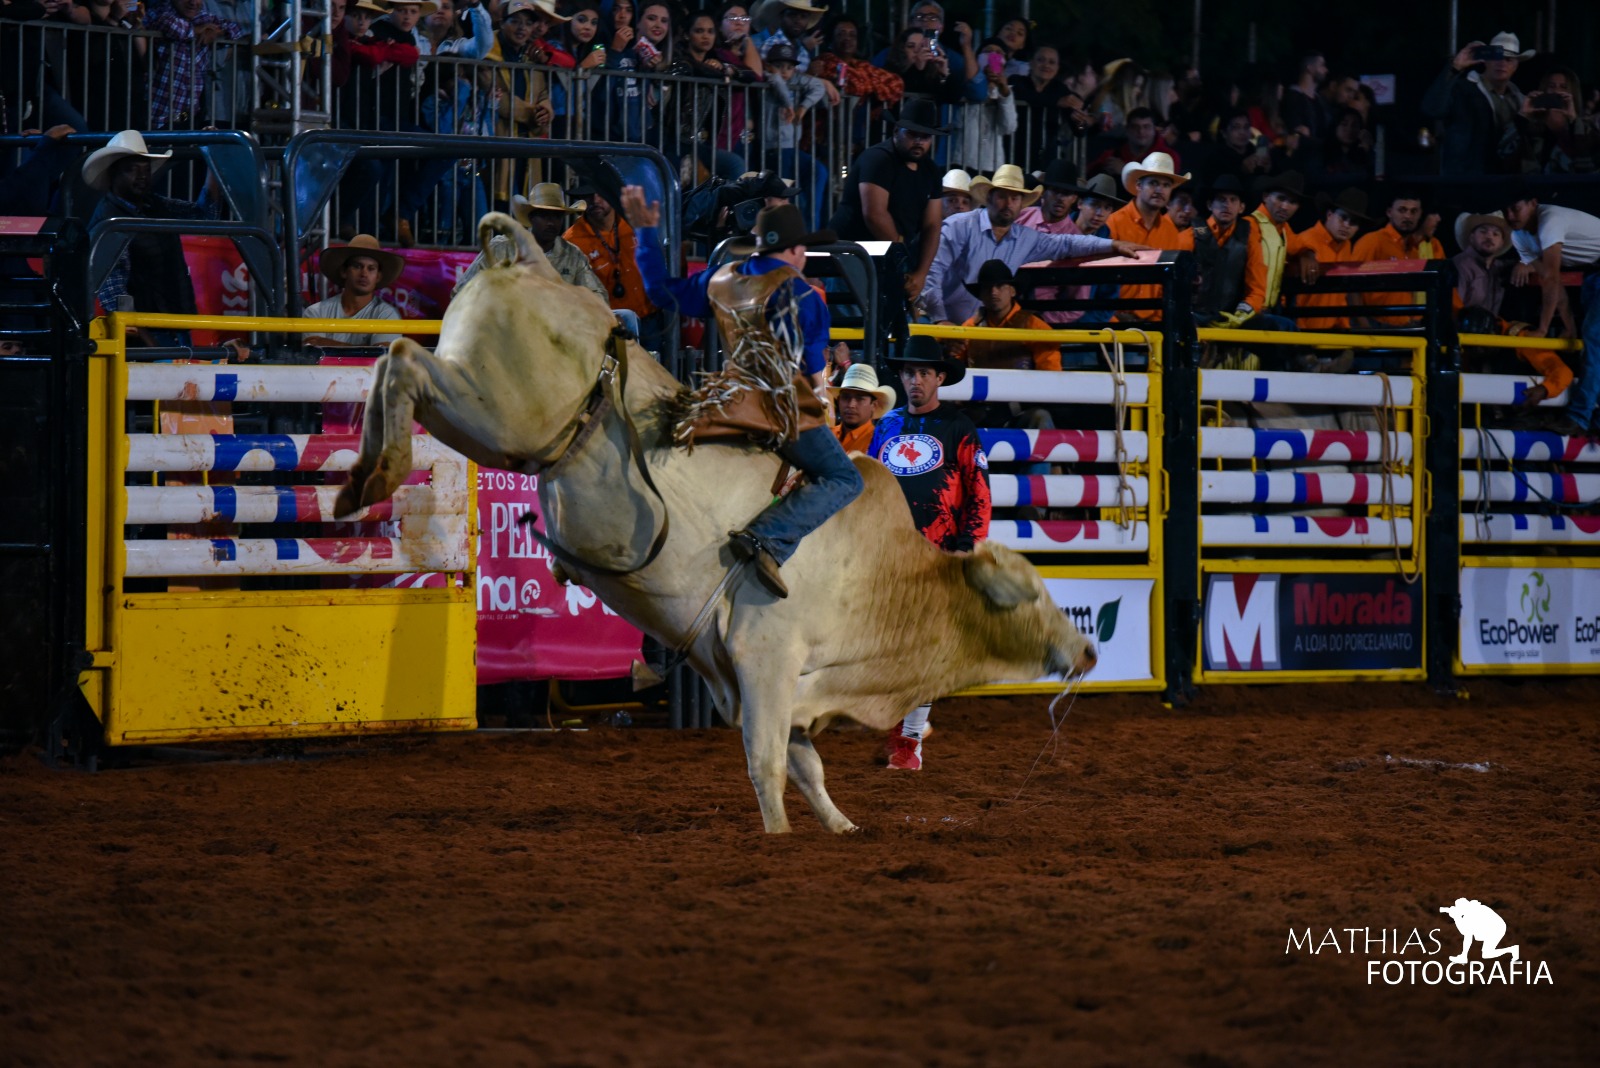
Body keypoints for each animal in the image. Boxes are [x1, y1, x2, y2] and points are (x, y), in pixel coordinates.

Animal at [331, 214, 1094, 831]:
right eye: (1036, 597)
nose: (1087, 652)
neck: (881, 583)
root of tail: (530, 260)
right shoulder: (767, 656)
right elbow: (767, 762)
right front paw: (779, 838)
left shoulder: (777, 677)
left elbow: (806, 763)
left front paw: (841, 826)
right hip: (498, 413)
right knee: (404, 359)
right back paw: (375, 473)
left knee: (401, 361)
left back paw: (356, 481)